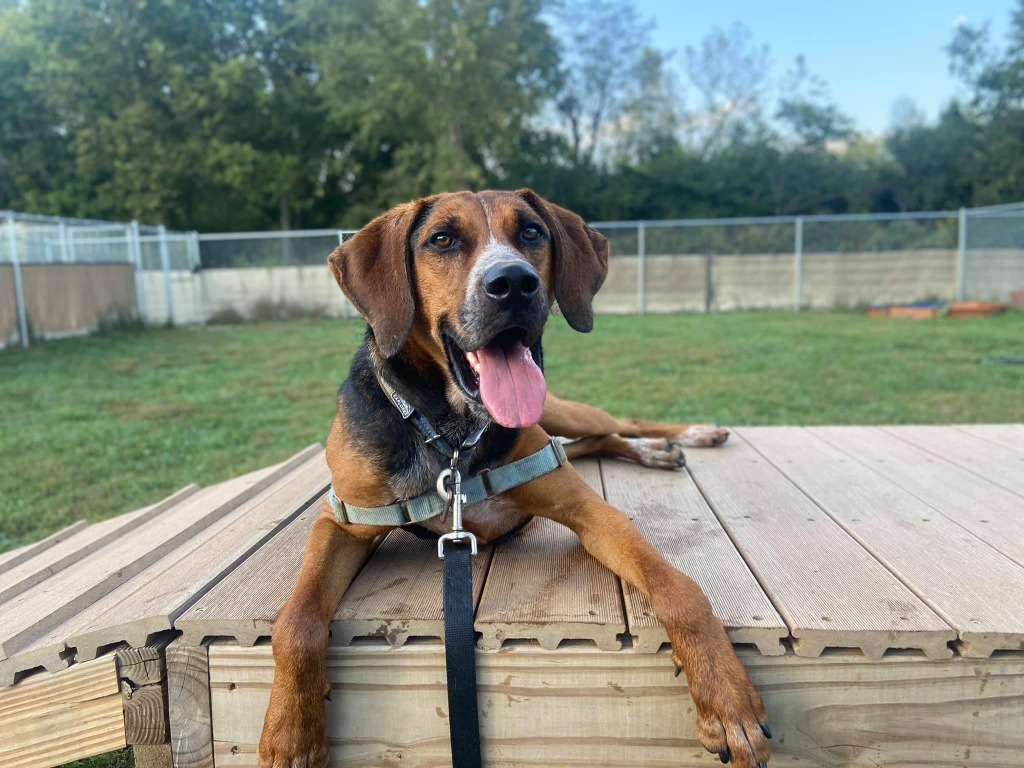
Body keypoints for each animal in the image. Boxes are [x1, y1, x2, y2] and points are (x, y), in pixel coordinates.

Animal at [256, 191, 770, 768]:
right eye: (442, 239)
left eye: (530, 233)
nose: (514, 283)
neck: (455, 435)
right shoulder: (342, 522)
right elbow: (296, 621)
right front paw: (290, 731)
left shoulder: (590, 512)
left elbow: (680, 589)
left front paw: (726, 700)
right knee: (597, 440)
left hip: (561, 409)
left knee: (620, 424)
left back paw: (682, 439)